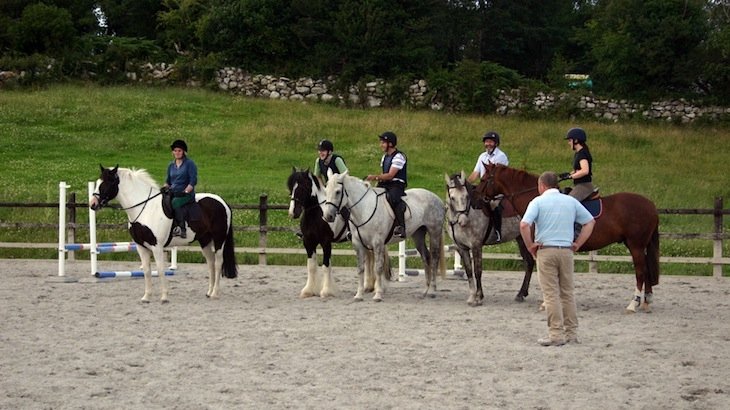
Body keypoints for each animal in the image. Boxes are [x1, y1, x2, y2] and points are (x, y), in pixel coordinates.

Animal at [88, 165, 236, 302]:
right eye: (97, 182)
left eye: (106, 183)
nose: (93, 204)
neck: (145, 208)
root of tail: (223, 202)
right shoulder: (141, 246)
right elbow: (147, 271)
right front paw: (146, 297)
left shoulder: (156, 246)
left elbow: (159, 269)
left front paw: (164, 296)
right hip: (204, 240)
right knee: (210, 262)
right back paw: (209, 292)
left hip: (219, 239)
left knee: (218, 262)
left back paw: (215, 293)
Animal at [322, 170, 444, 302]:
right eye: (326, 190)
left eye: (338, 192)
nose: (328, 216)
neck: (364, 209)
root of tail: (437, 198)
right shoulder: (358, 244)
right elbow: (360, 268)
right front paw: (359, 295)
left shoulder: (378, 243)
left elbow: (378, 268)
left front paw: (378, 295)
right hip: (418, 235)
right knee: (426, 257)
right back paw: (425, 290)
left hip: (434, 232)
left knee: (434, 258)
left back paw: (432, 290)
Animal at [474, 163, 656, 310]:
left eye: (484, 179)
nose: (476, 201)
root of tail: (650, 204)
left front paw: (546, 302)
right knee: (646, 270)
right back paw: (646, 302)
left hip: (635, 245)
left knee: (640, 272)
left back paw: (633, 304)